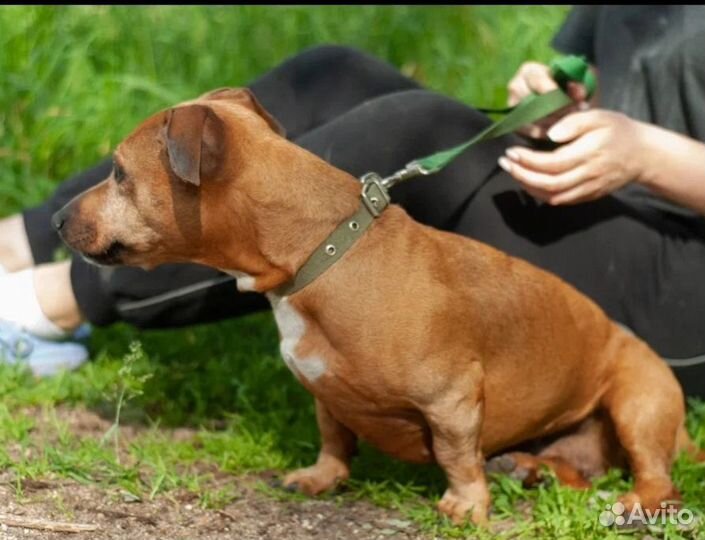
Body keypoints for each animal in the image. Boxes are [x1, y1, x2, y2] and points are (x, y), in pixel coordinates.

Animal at [53, 87, 700, 524]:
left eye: (118, 173)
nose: (58, 219)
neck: (323, 253)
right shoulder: (324, 394)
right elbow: (333, 438)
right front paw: (322, 478)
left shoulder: (452, 398)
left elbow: (456, 454)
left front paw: (466, 505)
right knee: (579, 471)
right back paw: (530, 468)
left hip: (636, 402)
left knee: (658, 480)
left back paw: (629, 500)